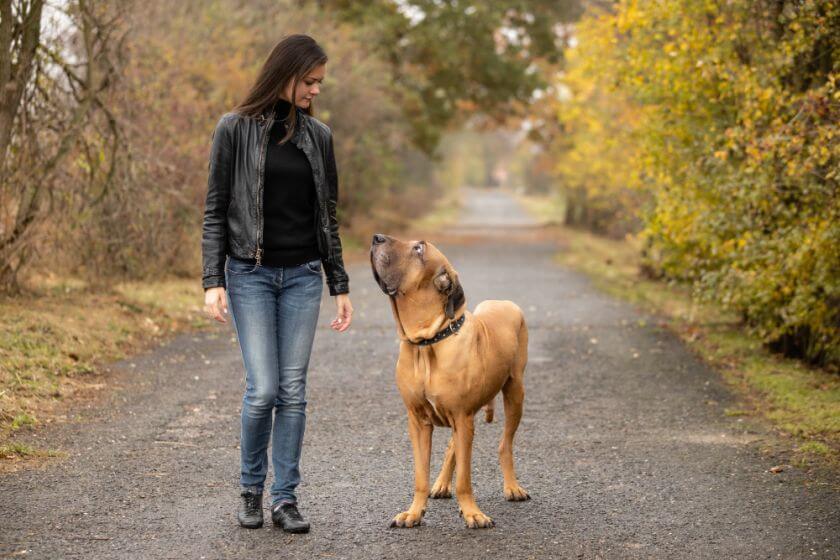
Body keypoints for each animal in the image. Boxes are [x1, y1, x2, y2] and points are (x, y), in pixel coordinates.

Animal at [370, 233, 528, 528]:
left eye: (418, 248)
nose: (377, 237)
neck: (427, 342)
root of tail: (504, 302)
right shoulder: (418, 421)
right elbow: (420, 475)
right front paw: (413, 512)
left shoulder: (462, 415)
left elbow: (465, 478)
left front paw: (472, 513)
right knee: (454, 447)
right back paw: (442, 484)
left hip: (515, 393)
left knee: (505, 444)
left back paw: (512, 487)